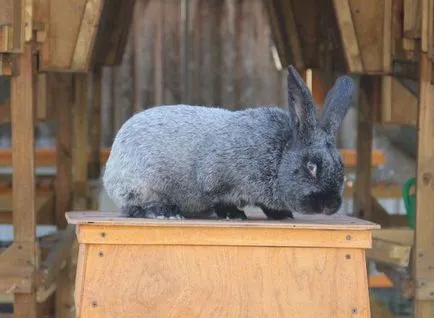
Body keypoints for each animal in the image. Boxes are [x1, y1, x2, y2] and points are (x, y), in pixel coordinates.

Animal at [102, 66, 356, 220]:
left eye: (341, 165)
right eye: (311, 167)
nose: (332, 205)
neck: (279, 158)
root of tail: (111, 163)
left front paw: (282, 215)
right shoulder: (216, 180)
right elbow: (221, 200)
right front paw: (234, 215)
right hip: (137, 186)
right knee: (133, 207)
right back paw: (165, 212)